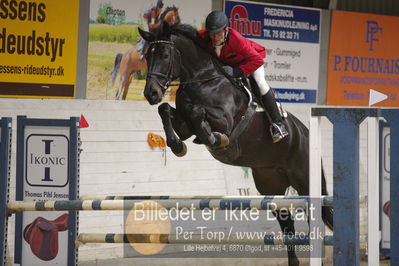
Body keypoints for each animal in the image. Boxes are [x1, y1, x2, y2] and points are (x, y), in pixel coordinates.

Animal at [139, 22, 332, 266]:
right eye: (147, 56)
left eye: (164, 55)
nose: (151, 93)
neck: (203, 79)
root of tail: (306, 133)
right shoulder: (184, 125)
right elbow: (165, 110)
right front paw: (177, 145)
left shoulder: (225, 121)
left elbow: (197, 112)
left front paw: (215, 139)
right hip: (271, 184)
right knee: (286, 222)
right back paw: (294, 261)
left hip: (305, 180)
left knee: (312, 214)